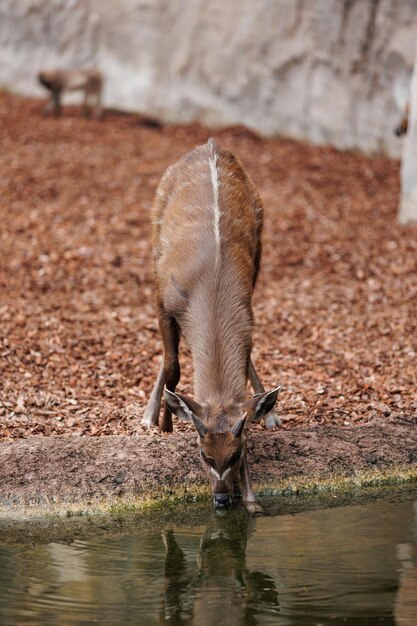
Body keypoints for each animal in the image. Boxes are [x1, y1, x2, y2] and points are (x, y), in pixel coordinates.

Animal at [143, 138, 280, 512]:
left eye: (238, 452)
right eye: (203, 453)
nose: (220, 499)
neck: (211, 286)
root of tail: (210, 143)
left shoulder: (247, 318)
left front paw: (252, 501)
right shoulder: (164, 300)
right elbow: (173, 365)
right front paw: (166, 424)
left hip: (261, 241)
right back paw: (150, 414)